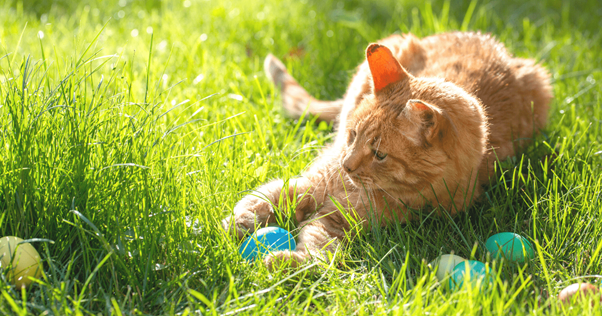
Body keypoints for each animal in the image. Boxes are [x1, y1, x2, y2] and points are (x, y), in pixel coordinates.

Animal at [220, 32, 548, 270]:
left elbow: (318, 248)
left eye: (379, 155)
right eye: (353, 135)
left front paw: (292, 263)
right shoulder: (312, 183)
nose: (347, 165)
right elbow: (269, 195)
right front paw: (241, 220)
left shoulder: (336, 222)